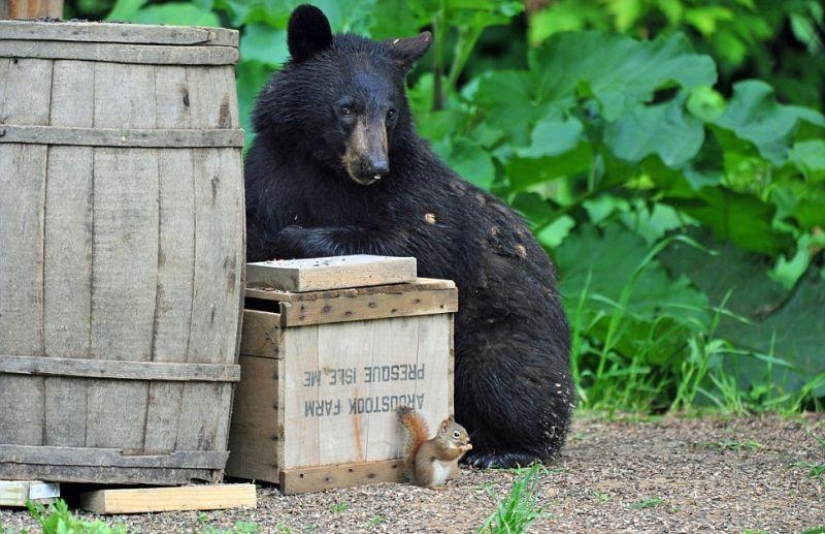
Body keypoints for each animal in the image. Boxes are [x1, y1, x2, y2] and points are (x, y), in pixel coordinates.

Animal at [244, 4, 574, 468]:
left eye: (391, 112)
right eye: (346, 108)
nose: (374, 166)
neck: (327, 169)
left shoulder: (416, 190)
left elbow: (418, 241)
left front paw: (299, 238)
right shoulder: (271, 170)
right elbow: (251, 225)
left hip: (502, 336)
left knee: (511, 378)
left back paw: (504, 449)